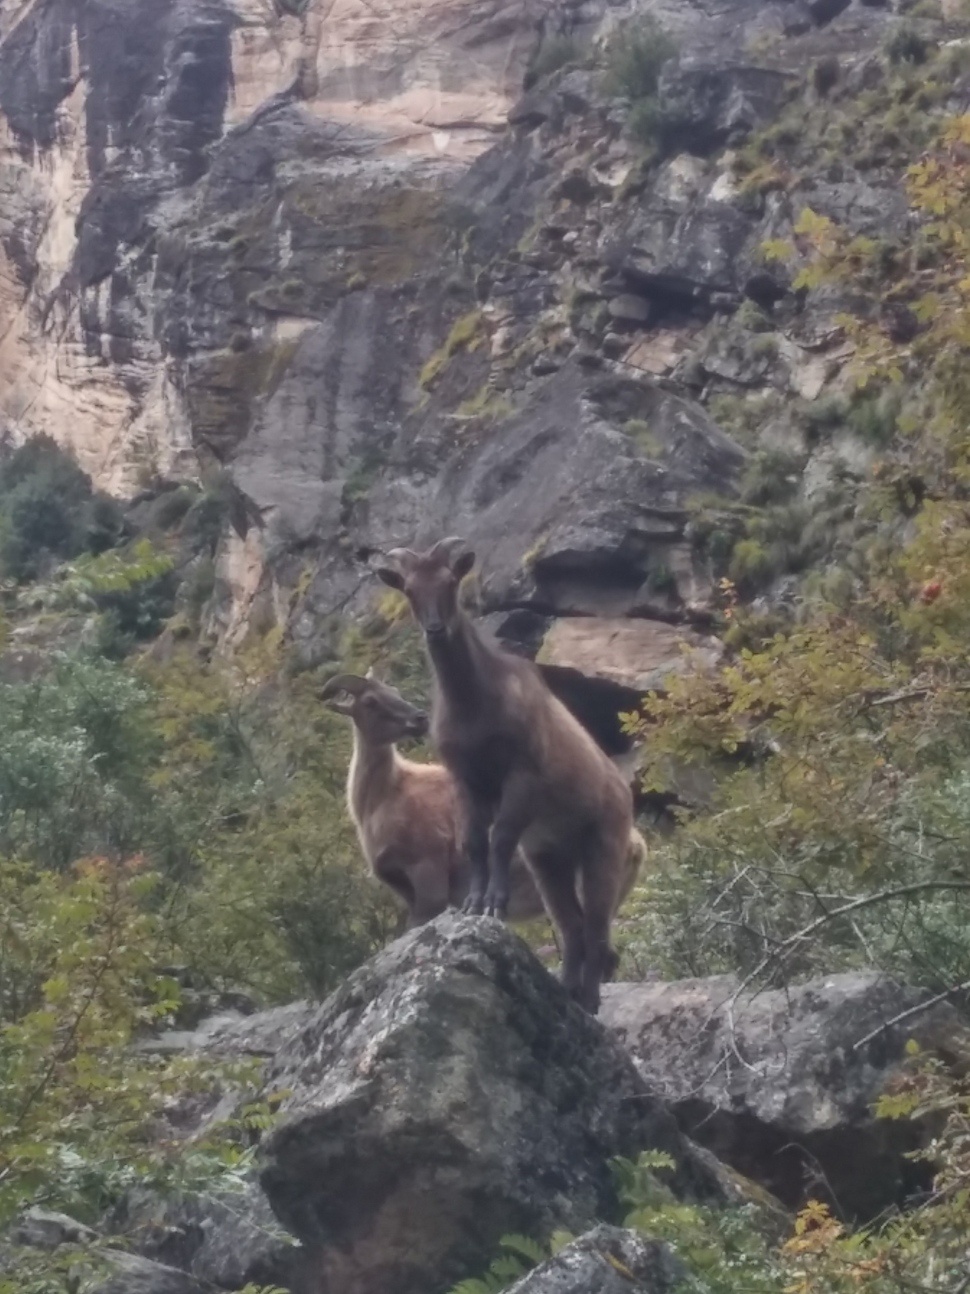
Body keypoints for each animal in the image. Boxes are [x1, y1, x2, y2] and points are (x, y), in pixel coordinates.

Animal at [375, 535, 641, 1009]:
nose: (435, 628)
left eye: (450, 581)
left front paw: (494, 903)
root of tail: (622, 792)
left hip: (603, 845)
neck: (477, 702)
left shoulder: (523, 773)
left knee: (595, 928)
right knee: (571, 925)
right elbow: (475, 842)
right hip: (548, 858)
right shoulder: (466, 778)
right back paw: (567, 990)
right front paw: (473, 903)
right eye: (408, 588)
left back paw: (589, 1001)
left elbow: (499, 838)